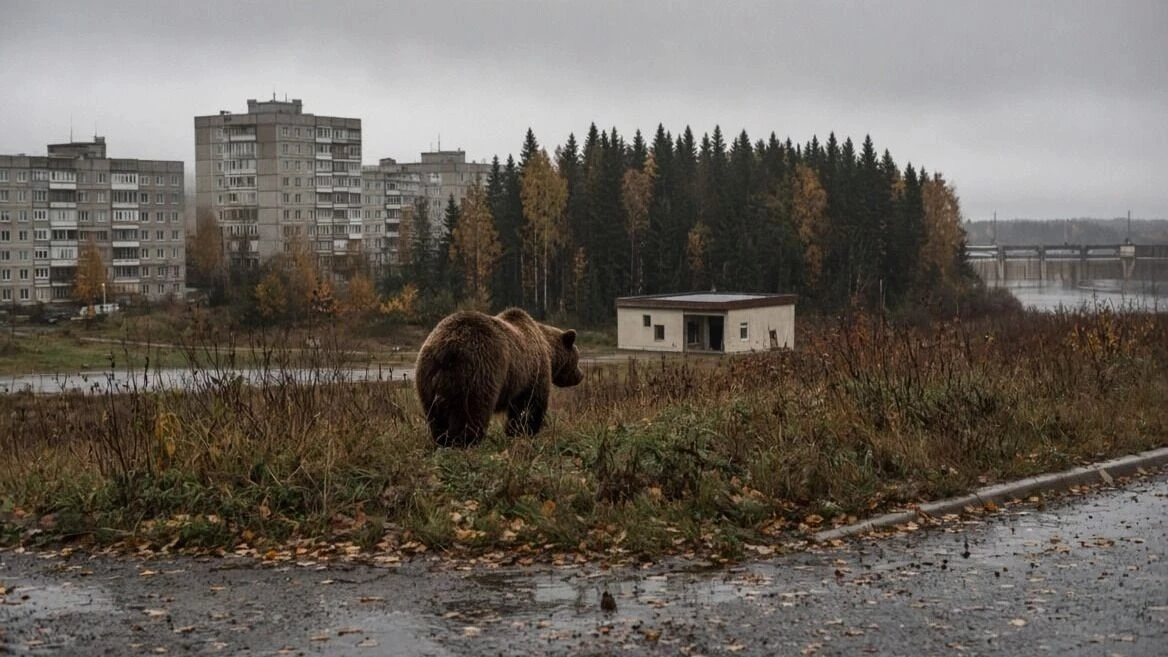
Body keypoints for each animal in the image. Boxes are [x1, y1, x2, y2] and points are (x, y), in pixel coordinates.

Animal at [414, 308, 584, 447]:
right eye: (577, 359)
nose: (580, 375)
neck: (549, 350)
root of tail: (447, 348)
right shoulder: (533, 372)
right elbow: (531, 405)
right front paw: (525, 431)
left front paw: (515, 432)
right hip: (478, 372)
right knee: (472, 411)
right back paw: (466, 441)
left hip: (427, 375)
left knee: (435, 415)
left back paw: (443, 439)